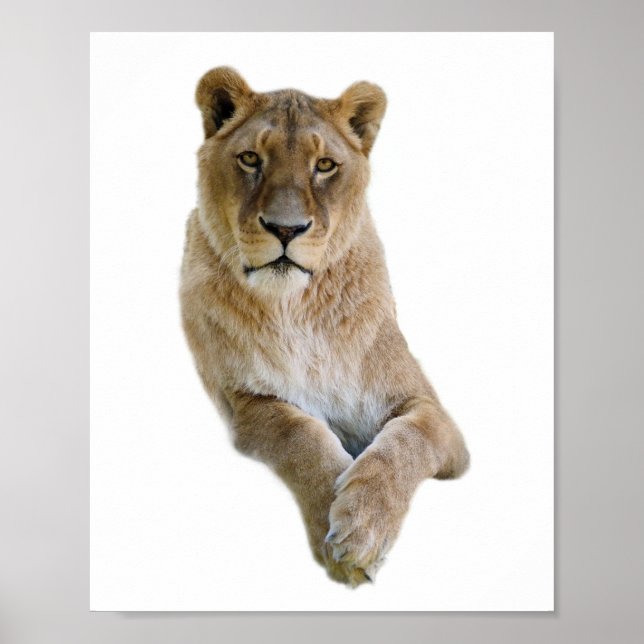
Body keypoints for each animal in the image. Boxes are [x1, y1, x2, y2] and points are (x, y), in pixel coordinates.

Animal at [180, 67, 470, 586]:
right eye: (251, 158)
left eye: (325, 166)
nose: (286, 228)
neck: (297, 309)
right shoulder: (245, 403)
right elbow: (299, 433)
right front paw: (334, 519)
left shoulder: (432, 414)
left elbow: (404, 442)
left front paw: (360, 530)